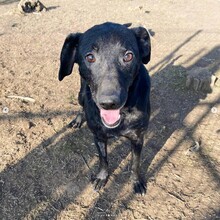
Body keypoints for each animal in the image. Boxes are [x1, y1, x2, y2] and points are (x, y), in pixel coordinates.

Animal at [58, 22, 151, 194]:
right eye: (90, 57)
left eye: (128, 56)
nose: (109, 103)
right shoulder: (99, 136)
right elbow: (103, 159)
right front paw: (102, 177)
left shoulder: (138, 137)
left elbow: (135, 163)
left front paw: (136, 181)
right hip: (81, 94)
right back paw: (78, 120)